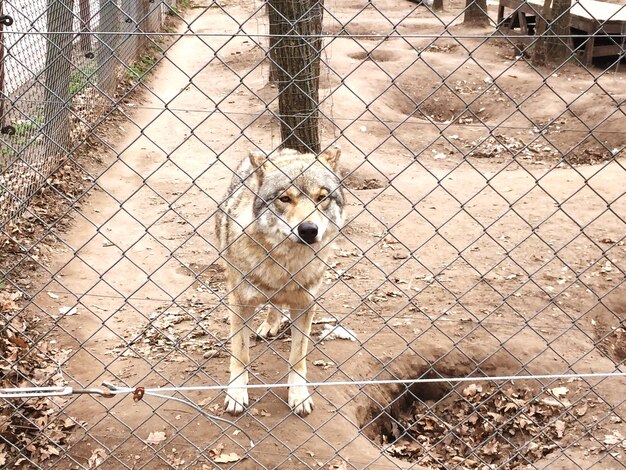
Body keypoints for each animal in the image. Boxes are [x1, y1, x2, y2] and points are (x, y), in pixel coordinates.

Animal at [213, 146, 342, 414]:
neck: (285, 265)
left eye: (321, 198)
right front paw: (236, 394)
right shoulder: (239, 303)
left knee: (276, 302)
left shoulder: (305, 304)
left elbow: (298, 357)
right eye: (284, 198)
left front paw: (299, 395)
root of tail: (285, 149)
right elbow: (240, 354)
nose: (308, 230)